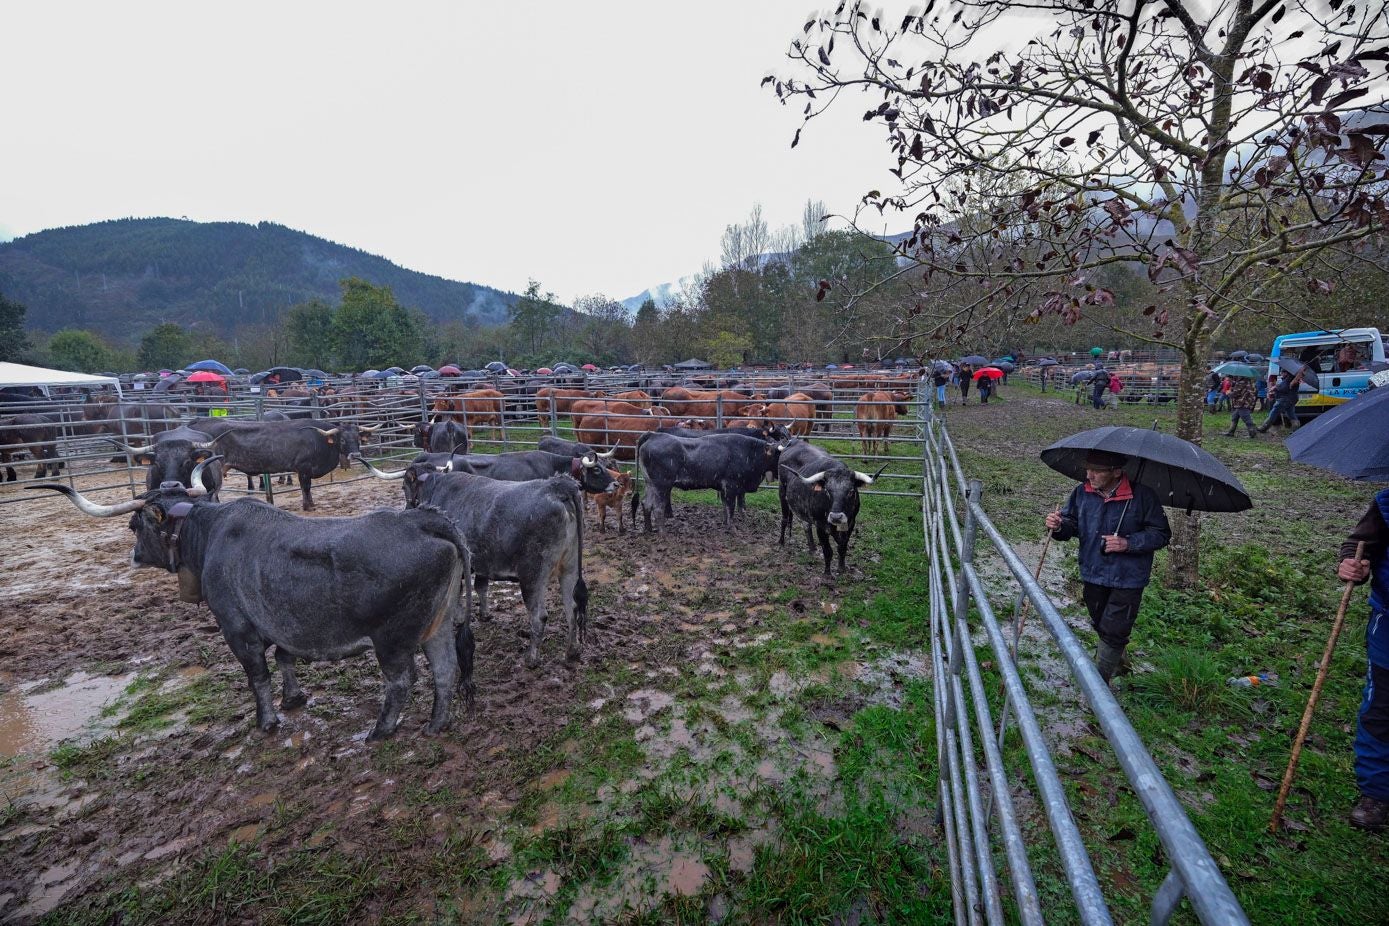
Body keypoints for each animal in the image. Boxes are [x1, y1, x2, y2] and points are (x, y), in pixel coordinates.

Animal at [31, 466, 477, 744]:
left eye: (133, 525)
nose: (134, 556)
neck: (210, 532)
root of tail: (425, 520)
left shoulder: (237, 628)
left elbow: (258, 676)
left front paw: (266, 721)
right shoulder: (281, 625)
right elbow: (284, 658)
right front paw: (294, 698)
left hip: (393, 639)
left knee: (402, 682)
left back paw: (380, 731)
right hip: (437, 625)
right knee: (445, 671)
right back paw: (436, 724)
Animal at [636, 430, 788, 533]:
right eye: (779, 454)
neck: (750, 452)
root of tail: (654, 435)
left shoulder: (725, 489)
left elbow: (726, 508)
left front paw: (725, 523)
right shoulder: (731, 487)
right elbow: (731, 508)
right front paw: (732, 528)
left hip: (650, 484)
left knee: (646, 504)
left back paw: (648, 529)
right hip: (661, 486)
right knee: (657, 508)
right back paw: (663, 533)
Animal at [777, 441, 883, 574]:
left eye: (851, 491)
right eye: (827, 491)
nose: (836, 517)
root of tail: (794, 441)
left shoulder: (850, 523)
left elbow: (842, 547)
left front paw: (842, 568)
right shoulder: (820, 526)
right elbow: (828, 551)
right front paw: (827, 573)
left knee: (806, 525)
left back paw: (812, 549)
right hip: (782, 493)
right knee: (784, 519)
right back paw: (781, 542)